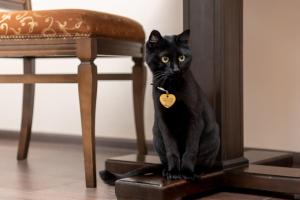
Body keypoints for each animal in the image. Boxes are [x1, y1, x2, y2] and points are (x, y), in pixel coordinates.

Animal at [99, 29, 219, 184]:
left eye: (181, 58)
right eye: (165, 59)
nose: (175, 70)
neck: (171, 89)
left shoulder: (195, 119)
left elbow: (190, 149)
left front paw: (187, 172)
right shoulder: (163, 121)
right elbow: (171, 150)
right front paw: (174, 172)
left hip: (213, 137)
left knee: (204, 161)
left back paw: (197, 170)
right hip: (157, 136)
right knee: (165, 160)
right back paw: (166, 170)